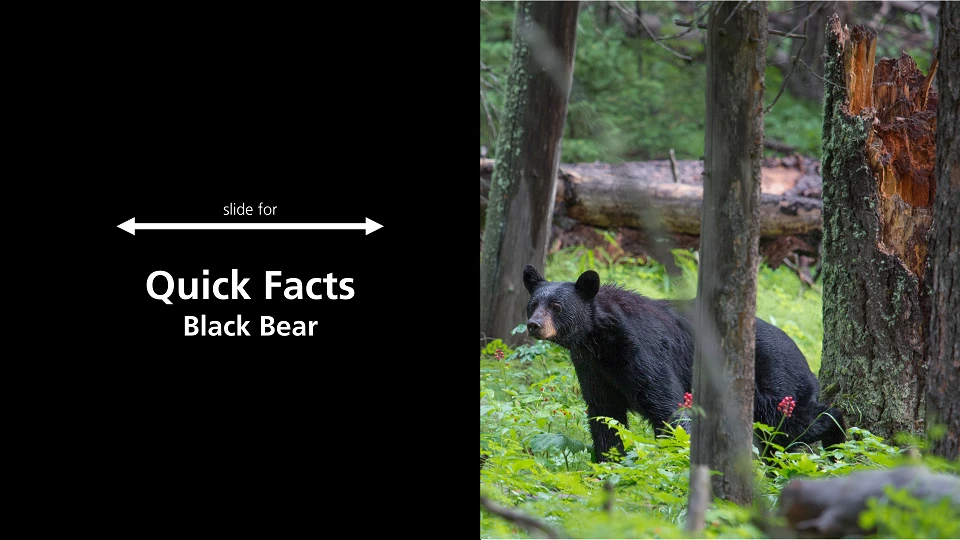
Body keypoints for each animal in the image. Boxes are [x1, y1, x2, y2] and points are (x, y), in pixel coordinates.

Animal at [522, 264, 846, 462]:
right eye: (533, 304)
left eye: (557, 306)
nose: (534, 325)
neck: (601, 339)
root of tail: (803, 358)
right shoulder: (592, 368)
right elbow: (604, 415)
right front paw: (608, 463)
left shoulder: (645, 353)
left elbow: (668, 407)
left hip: (774, 383)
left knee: (794, 424)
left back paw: (838, 440)